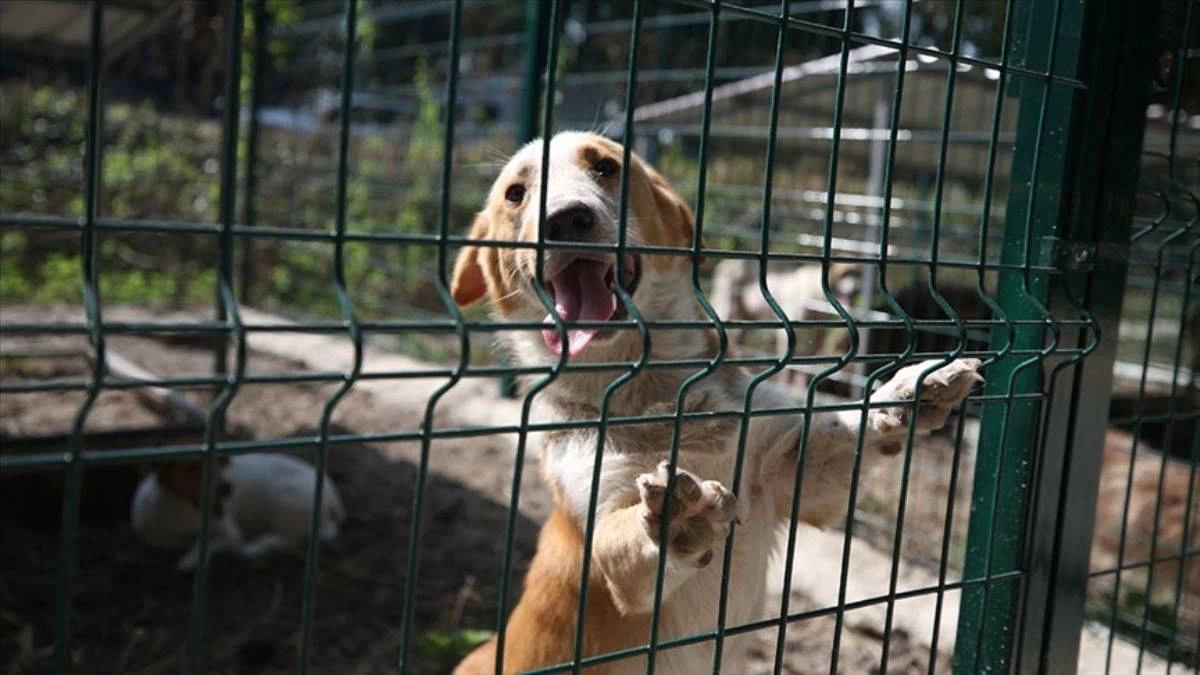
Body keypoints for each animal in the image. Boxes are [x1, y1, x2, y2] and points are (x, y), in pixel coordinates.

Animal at [446, 132, 979, 672]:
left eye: (605, 166)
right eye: (516, 194)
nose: (566, 218)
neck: (652, 391)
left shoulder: (798, 475)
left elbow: (848, 427)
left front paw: (909, 391)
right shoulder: (605, 537)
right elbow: (628, 536)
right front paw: (676, 521)